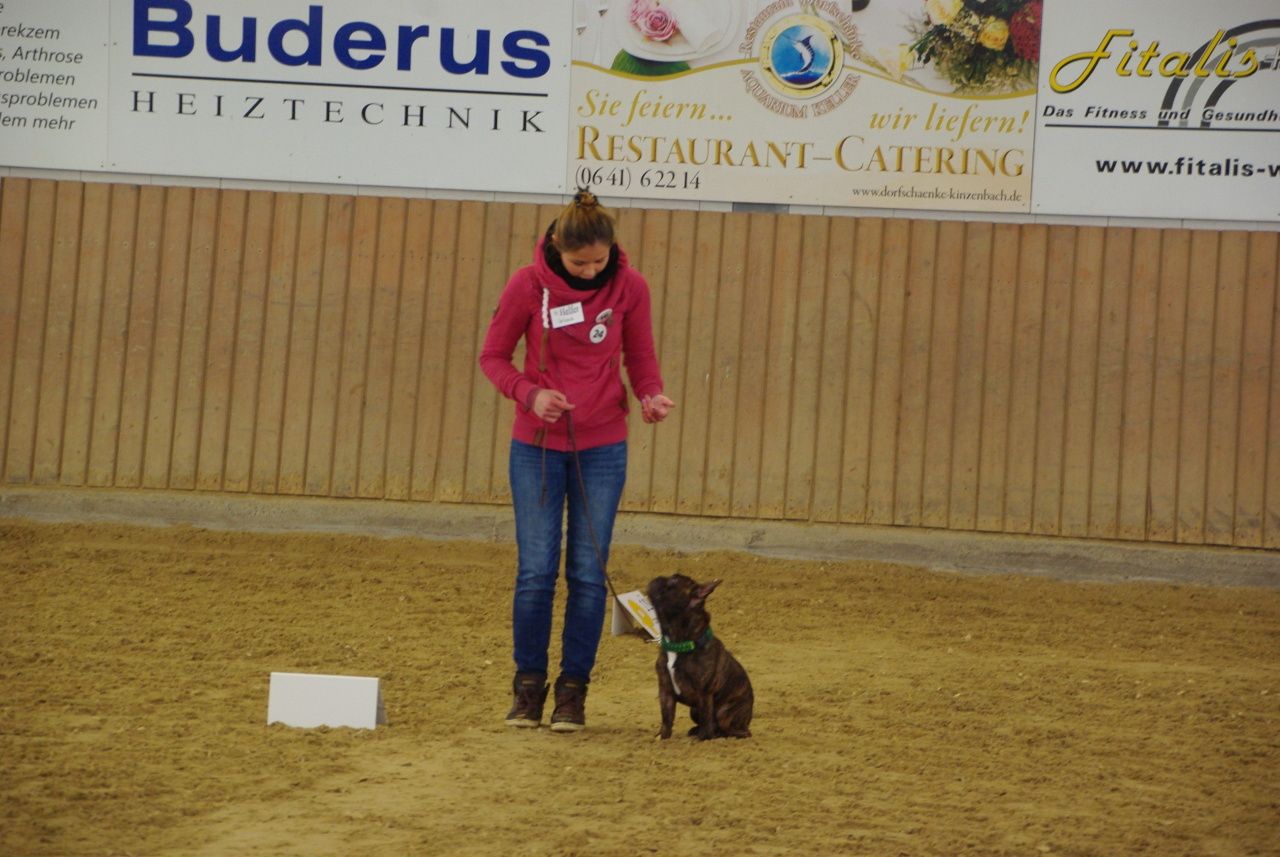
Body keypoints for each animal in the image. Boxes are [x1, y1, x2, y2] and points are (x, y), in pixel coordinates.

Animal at [646, 574, 753, 740]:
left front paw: (702, 738)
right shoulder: (665, 691)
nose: (659, 577)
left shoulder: (704, 693)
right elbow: (666, 716)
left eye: (674, 581)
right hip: (693, 710)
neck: (679, 643)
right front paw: (662, 736)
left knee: (734, 729)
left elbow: (705, 716)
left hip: (724, 712)